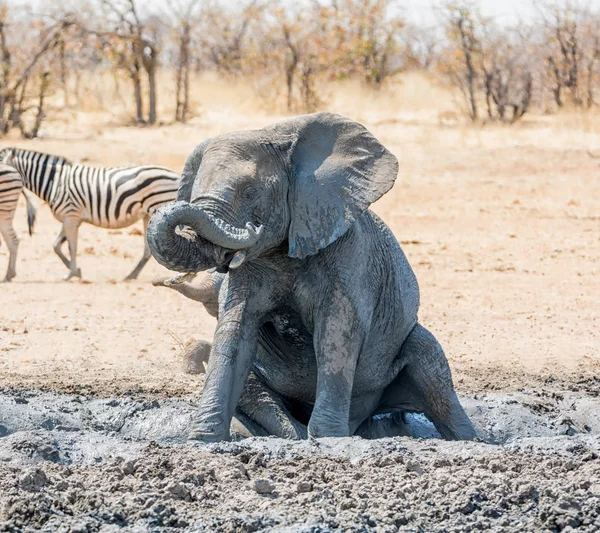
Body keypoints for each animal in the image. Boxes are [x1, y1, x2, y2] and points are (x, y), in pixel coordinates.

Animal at [1, 145, 182, 278]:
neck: (54, 182)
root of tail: (174, 174)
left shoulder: (71, 215)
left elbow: (72, 247)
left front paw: (71, 273)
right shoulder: (69, 218)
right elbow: (56, 246)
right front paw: (76, 271)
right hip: (148, 215)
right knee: (148, 249)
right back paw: (132, 275)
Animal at [148, 111, 476, 440]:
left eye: (251, 192)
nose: (252, 228)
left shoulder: (349, 253)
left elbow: (335, 333)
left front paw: (328, 438)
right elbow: (234, 334)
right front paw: (202, 439)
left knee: (431, 364)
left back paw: (471, 438)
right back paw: (291, 434)